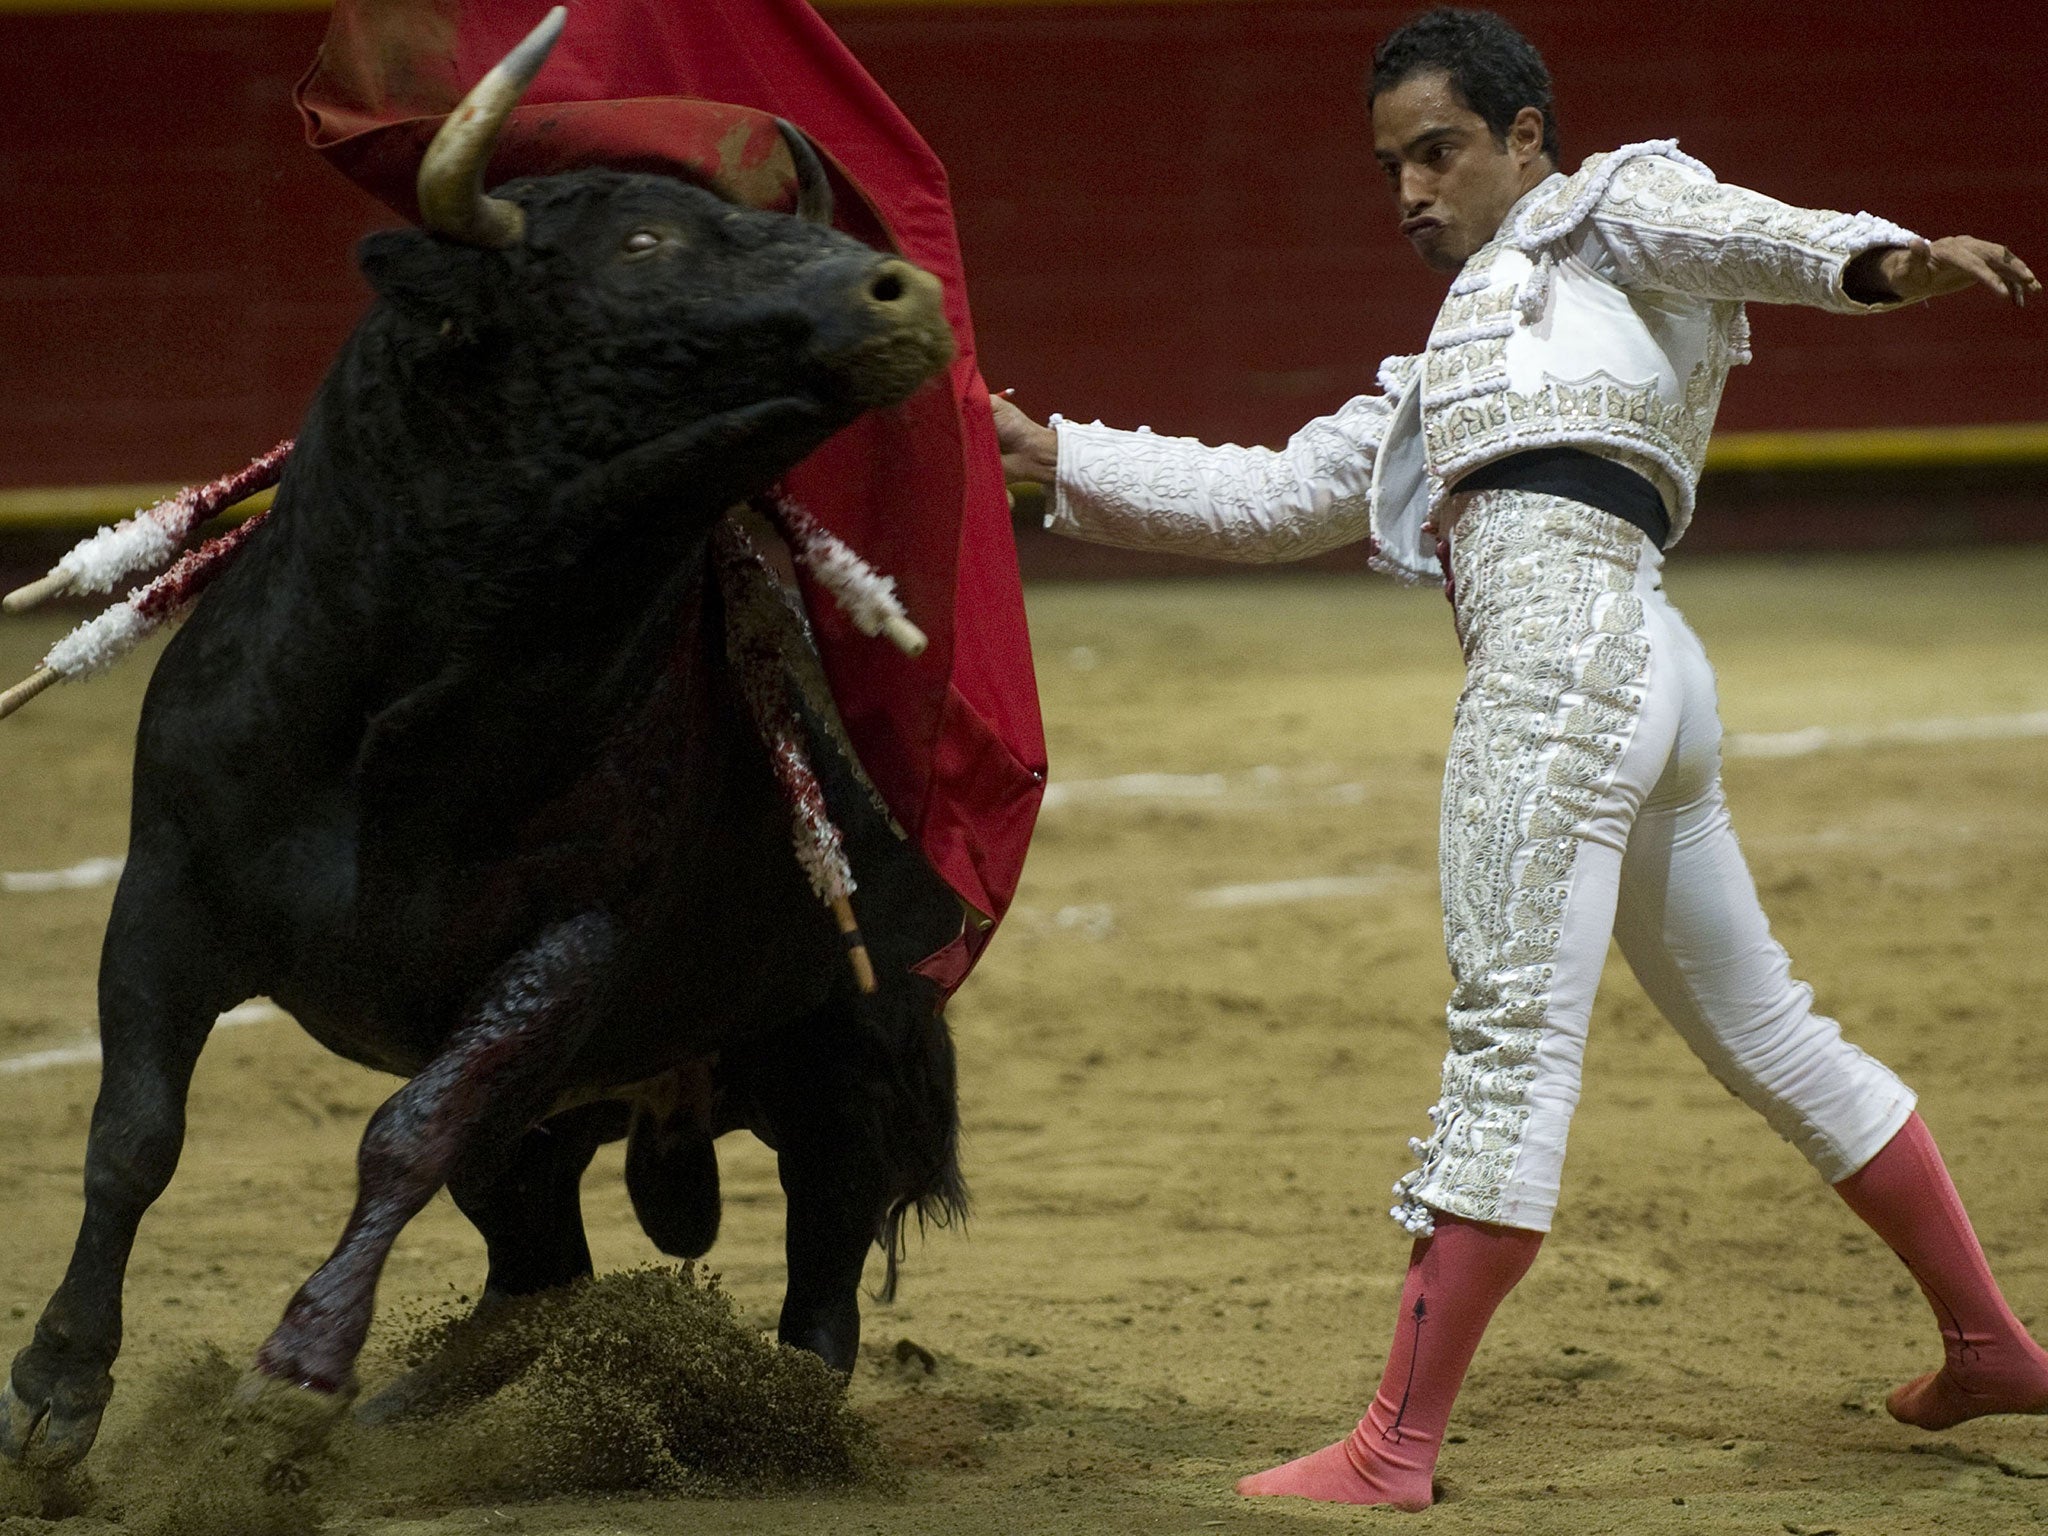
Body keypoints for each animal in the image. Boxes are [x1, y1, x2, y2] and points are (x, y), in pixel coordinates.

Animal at [2, 162, 974, 1474]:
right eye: (642, 242)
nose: (901, 291)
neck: (406, 714)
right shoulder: (165, 893)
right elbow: (133, 1134)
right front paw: (58, 1387)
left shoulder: (570, 947)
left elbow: (407, 1131)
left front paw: (296, 1372)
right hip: (553, 1124)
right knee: (535, 1257)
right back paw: (435, 1401)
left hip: (849, 1058)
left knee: (818, 1271)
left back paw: (773, 1415)